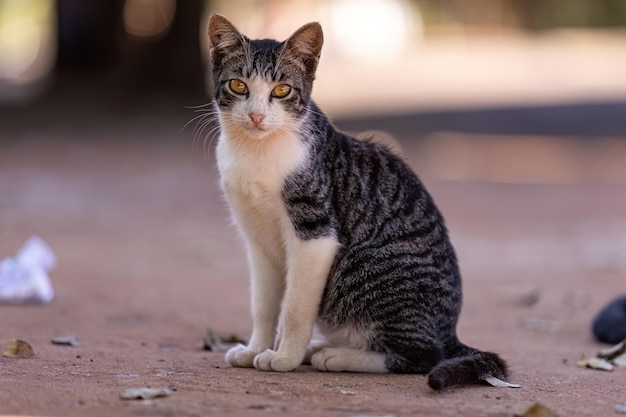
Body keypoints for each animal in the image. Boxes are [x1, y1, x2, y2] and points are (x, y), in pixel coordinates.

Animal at [206, 13, 508, 390]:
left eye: (281, 90)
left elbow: (295, 306)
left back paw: (334, 356)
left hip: (366, 266)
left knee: (423, 356)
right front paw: (255, 348)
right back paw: (320, 347)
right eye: (238, 86)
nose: (257, 116)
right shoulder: (256, 238)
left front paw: (285, 357)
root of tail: (449, 332)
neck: (257, 153)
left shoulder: (316, 231)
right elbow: (263, 303)